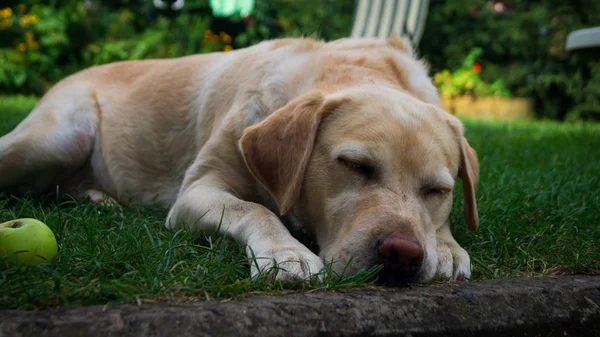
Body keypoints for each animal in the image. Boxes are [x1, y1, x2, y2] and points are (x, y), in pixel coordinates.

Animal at [0, 36, 478, 284]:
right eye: (355, 165)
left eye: (437, 190)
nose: (403, 255)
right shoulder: (198, 190)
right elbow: (254, 209)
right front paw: (286, 252)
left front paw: (447, 247)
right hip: (57, 137)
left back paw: (99, 199)